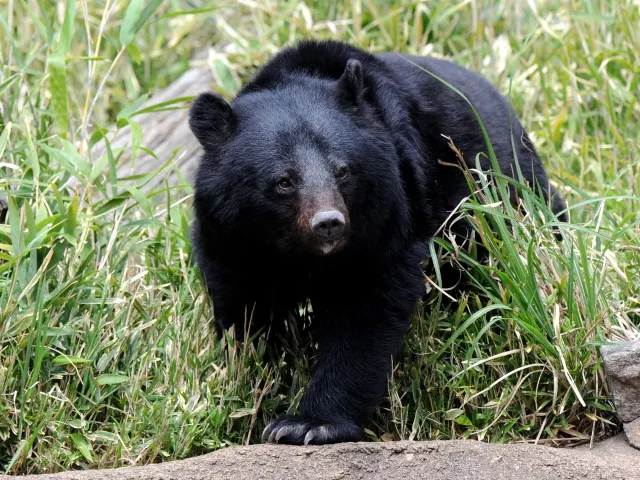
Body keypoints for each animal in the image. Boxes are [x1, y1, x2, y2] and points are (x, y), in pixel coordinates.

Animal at [188, 40, 566, 446]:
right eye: (284, 182)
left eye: (342, 170)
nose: (329, 224)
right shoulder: (227, 232)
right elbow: (242, 305)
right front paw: (250, 377)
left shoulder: (389, 207)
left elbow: (368, 306)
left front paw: (306, 425)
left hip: (501, 192)